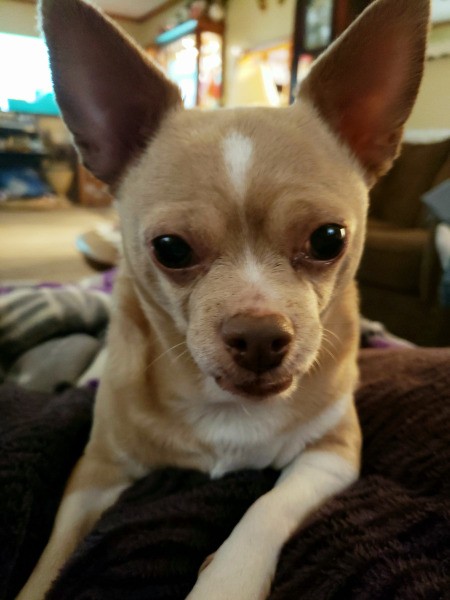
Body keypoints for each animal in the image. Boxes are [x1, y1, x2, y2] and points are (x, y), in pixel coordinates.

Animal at [19, 0, 430, 596]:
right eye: (170, 249)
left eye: (329, 240)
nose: (259, 336)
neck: (225, 407)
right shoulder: (93, 475)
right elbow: (48, 565)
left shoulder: (331, 456)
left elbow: (267, 508)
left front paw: (226, 581)